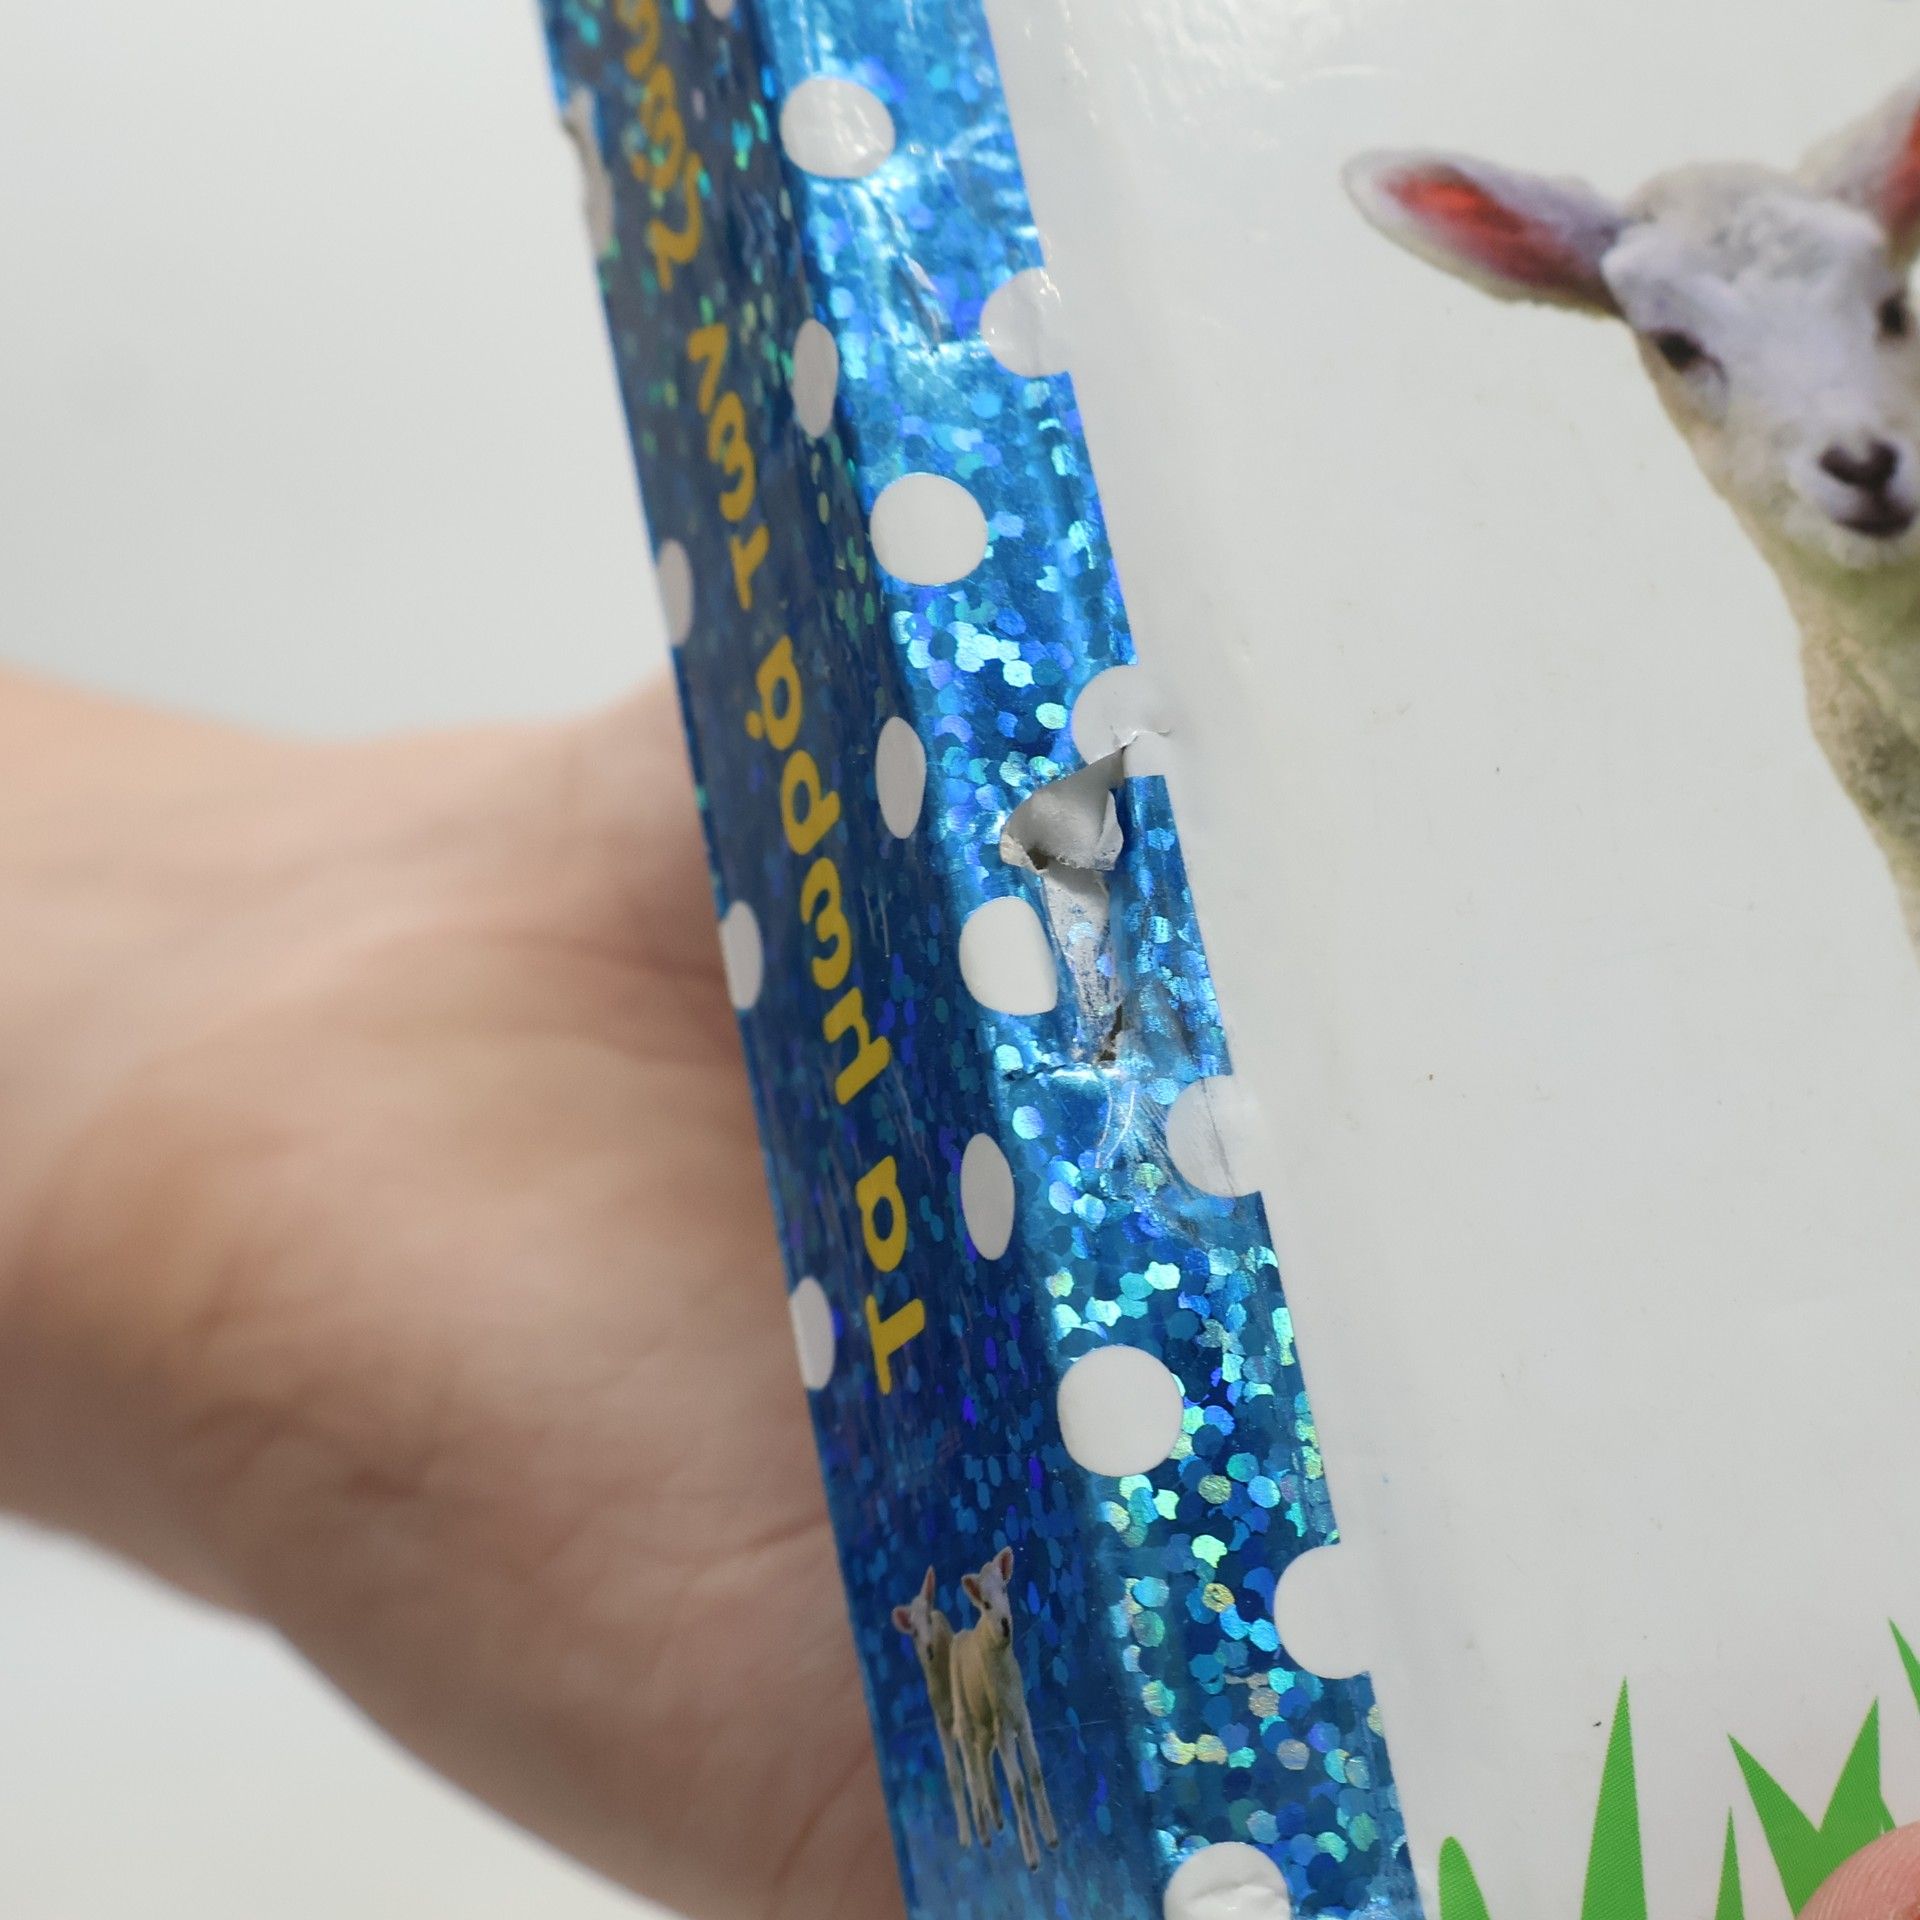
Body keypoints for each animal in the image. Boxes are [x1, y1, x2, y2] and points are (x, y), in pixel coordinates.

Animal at [891, 1566, 977, 1848]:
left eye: (928, 1619)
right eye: (914, 1632)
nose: (929, 1649)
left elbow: (970, 1767)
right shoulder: (940, 1720)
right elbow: (953, 1774)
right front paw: (965, 1837)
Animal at [948, 1545, 1059, 1871]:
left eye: (1005, 1590)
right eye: (985, 1604)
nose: (1005, 1626)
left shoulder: (1022, 1718)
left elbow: (1035, 1773)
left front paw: (1051, 1836)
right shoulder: (1005, 1726)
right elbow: (1018, 1785)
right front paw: (1032, 1856)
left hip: (986, 1723)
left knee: (983, 1757)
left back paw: (996, 1816)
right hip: (966, 1712)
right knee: (971, 1768)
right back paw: (983, 1831)